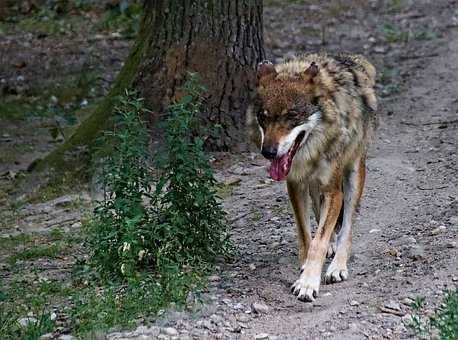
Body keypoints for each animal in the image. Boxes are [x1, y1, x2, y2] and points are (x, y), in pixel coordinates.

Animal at [249, 53, 378, 302]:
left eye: (291, 116)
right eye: (263, 117)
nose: (268, 152)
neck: (311, 152)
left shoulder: (334, 192)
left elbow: (319, 241)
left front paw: (308, 283)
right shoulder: (295, 185)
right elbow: (306, 234)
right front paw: (305, 267)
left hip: (353, 174)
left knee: (347, 226)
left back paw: (338, 266)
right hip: (313, 185)